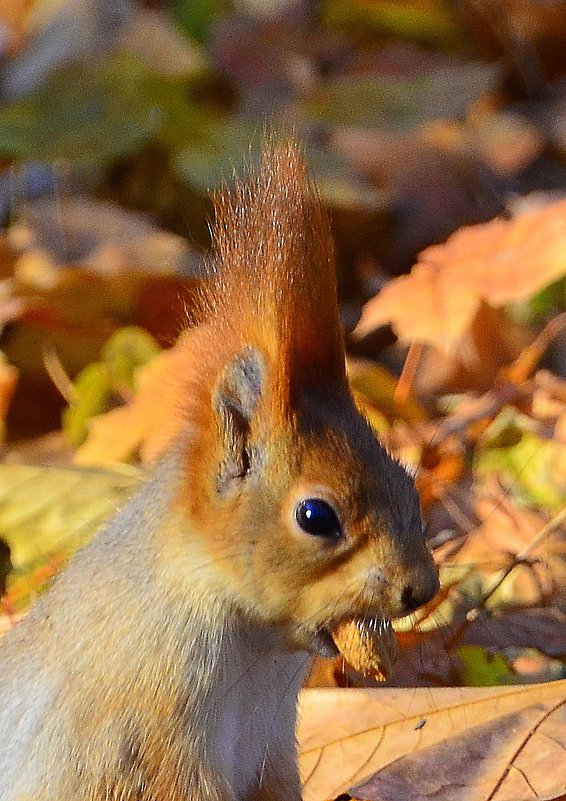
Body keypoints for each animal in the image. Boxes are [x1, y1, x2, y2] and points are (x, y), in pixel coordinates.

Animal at [0, 142, 442, 800]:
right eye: (315, 516)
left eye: (410, 487)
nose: (421, 588)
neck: (256, 647)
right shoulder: (150, 731)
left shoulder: (271, 747)